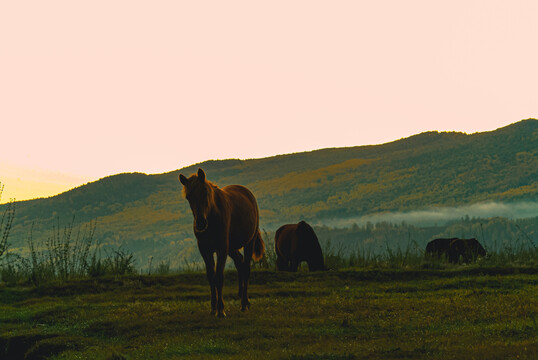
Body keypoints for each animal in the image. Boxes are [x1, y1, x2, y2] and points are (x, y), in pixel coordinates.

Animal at [179, 167, 264, 316]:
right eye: (188, 197)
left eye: (205, 192)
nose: (200, 223)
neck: (213, 215)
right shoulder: (205, 250)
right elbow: (211, 277)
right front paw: (213, 308)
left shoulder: (221, 248)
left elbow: (218, 277)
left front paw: (220, 309)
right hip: (232, 248)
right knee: (239, 262)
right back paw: (242, 297)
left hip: (249, 242)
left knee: (246, 268)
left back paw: (244, 303)